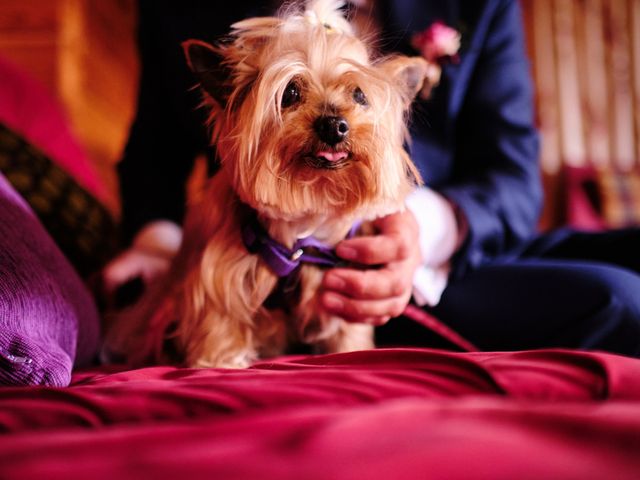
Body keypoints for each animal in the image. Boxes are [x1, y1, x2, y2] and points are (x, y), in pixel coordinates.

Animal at [107, 0, 428, 368]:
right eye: (290, 93)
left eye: (359, 94)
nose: (334, 125)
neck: (303, 230)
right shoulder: (218, 281)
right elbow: (220, 325)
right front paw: (221, 364)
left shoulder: (345, 288)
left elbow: (348, 334)